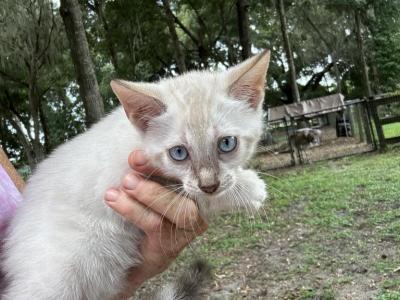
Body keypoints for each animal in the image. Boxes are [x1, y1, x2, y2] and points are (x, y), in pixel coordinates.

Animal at [1, 50, 270, 298]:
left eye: (227, 143)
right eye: (179, 153)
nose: (210, 185)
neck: (137, 138)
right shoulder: (121, 183)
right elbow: (195, 196)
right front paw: (249, 188)